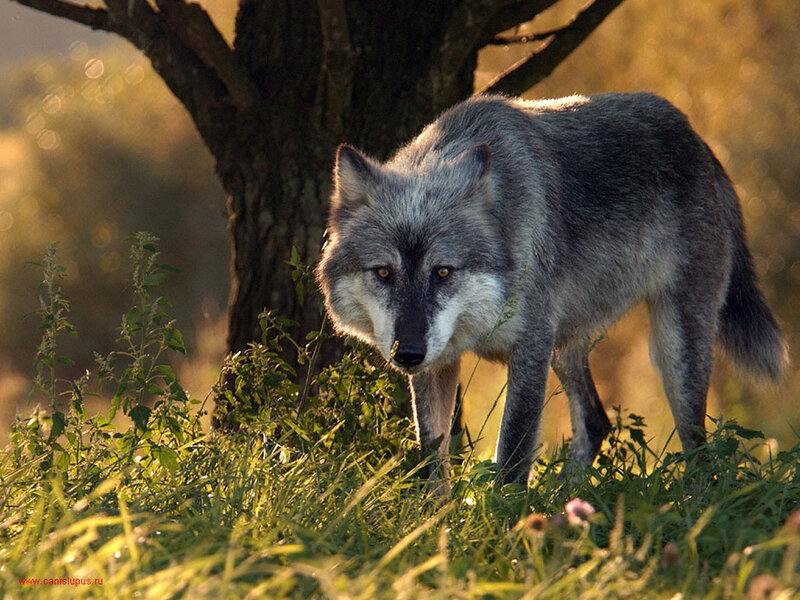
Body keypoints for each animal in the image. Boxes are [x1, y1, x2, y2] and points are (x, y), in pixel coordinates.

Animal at [316, 93, 788, 486]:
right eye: (383, 273)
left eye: (443, 272)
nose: (408, 353)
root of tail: (700, 142)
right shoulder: (440, 365)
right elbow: (433, 462)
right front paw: (437, 527)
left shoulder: (529, 350)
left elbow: (510, 461)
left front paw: (501, 531)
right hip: (565, 349)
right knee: (597, 422)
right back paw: (564, 502)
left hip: (671, 351)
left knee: (699, 449)